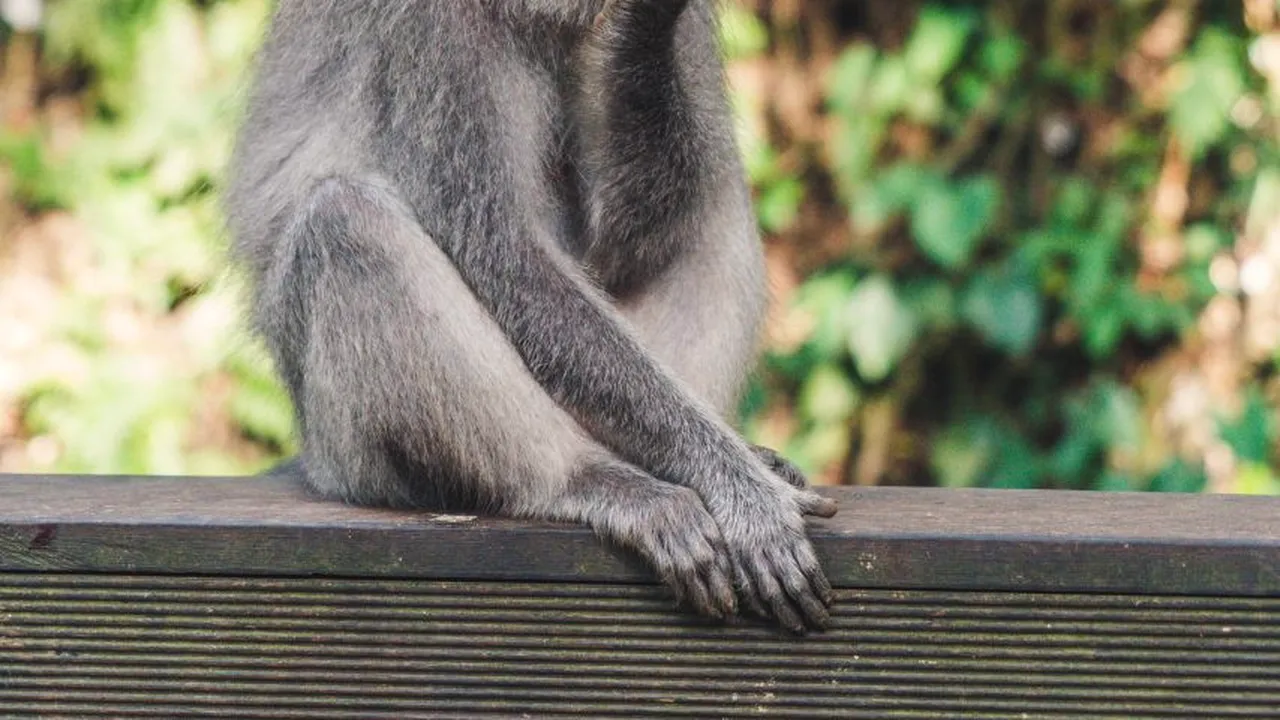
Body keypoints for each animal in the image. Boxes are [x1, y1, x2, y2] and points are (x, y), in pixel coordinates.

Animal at [224, 0, 839, 633]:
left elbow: (624, 242)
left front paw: (643, 26)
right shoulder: (427, 29)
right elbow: (506, 254)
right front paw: (739, 490)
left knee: (714, 197)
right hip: (348, 456)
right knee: (345, 220)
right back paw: (590, 479)